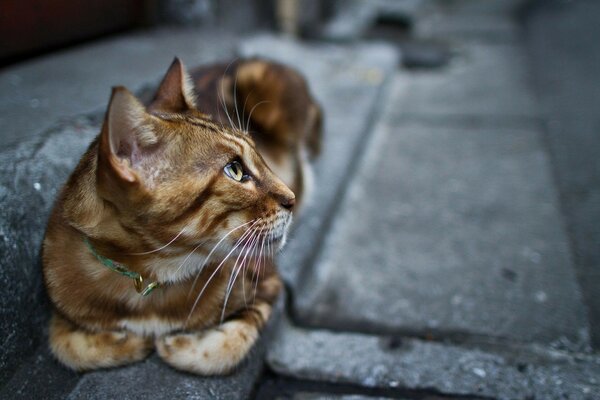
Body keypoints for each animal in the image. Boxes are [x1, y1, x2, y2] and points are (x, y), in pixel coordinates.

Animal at [41, 57, 324, 374]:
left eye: (258, 156)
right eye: (235, 170)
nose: (291, 198)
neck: (152, 274)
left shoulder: (267, 281)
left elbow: (227, 346)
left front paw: (179, 344)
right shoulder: (61, 308)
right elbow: (64, 345)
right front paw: (127, 341)